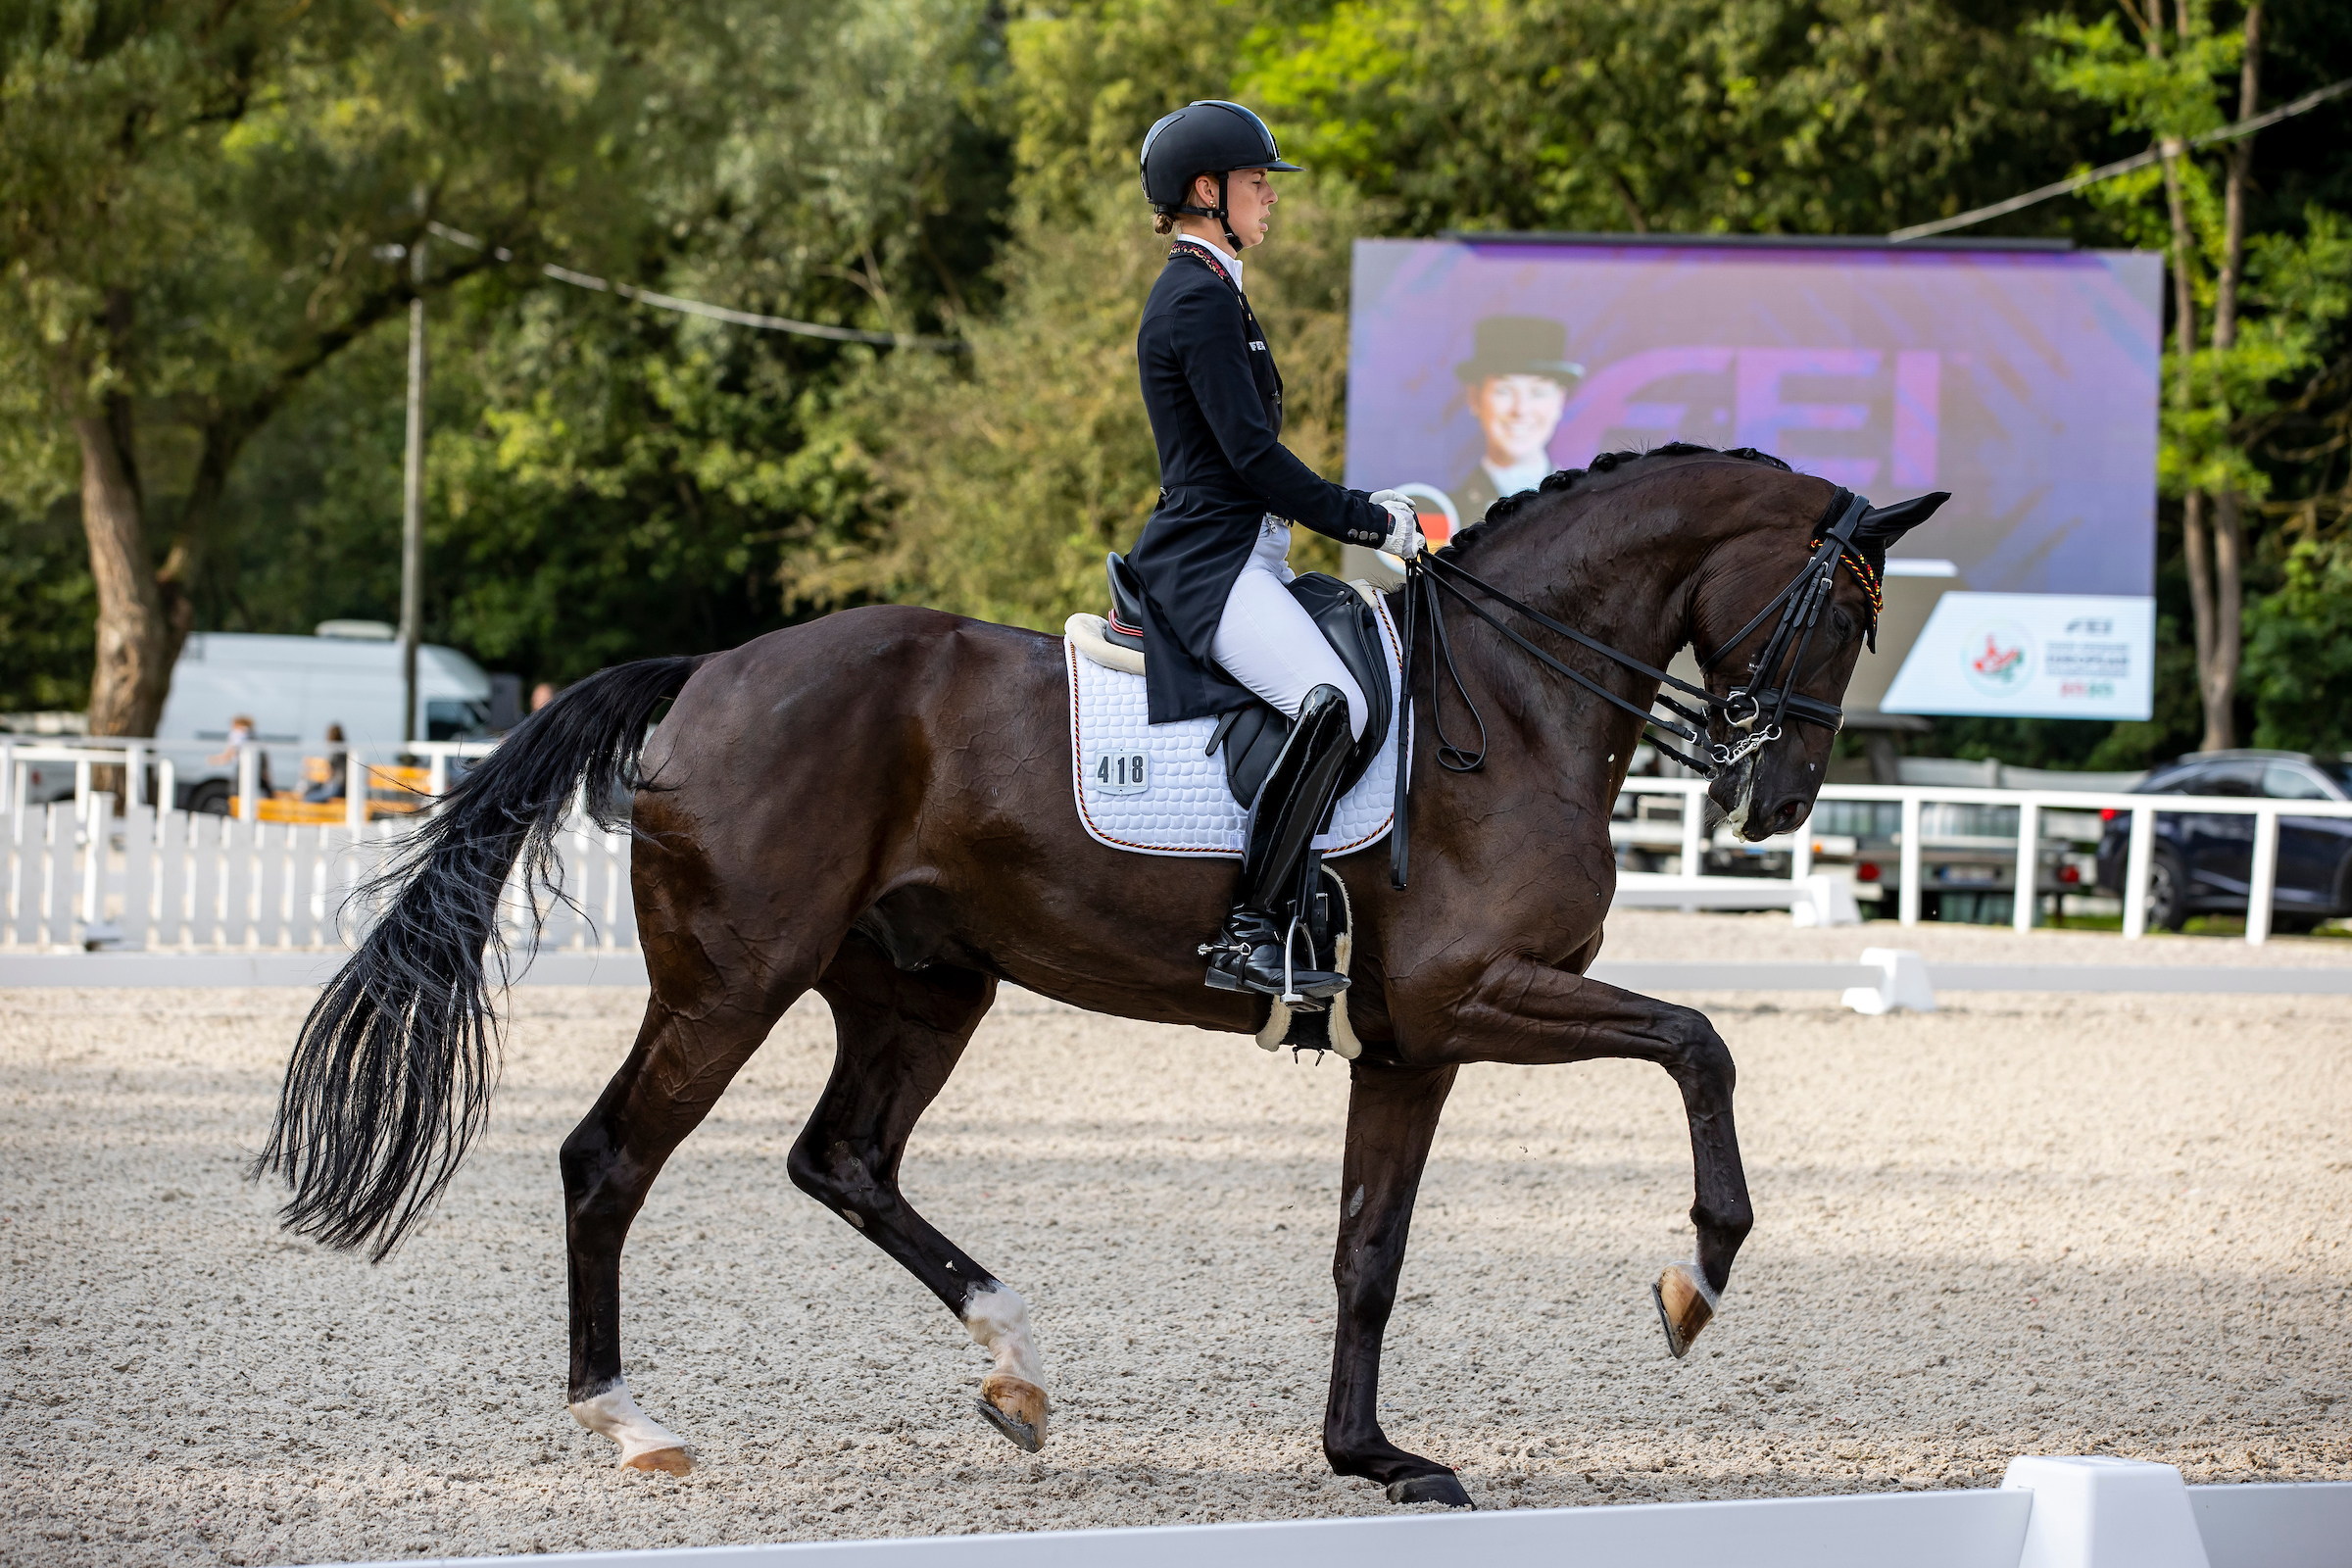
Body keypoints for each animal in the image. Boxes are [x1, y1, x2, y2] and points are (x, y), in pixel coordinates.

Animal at [262, 439, 1947, 1504]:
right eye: (1841, 615)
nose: (1777, 802)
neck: (1516, 699)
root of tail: (713, 671)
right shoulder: (1477, 994)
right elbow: (1702, 1039)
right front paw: (1696, 1276)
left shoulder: (1412, 1043)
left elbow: (1369, 1254)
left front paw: (1372, 1460)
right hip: (731, 982)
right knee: (610, 1159)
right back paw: (632, 1426)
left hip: (924, 986)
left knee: (843, 1159)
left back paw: (1013, 1365)